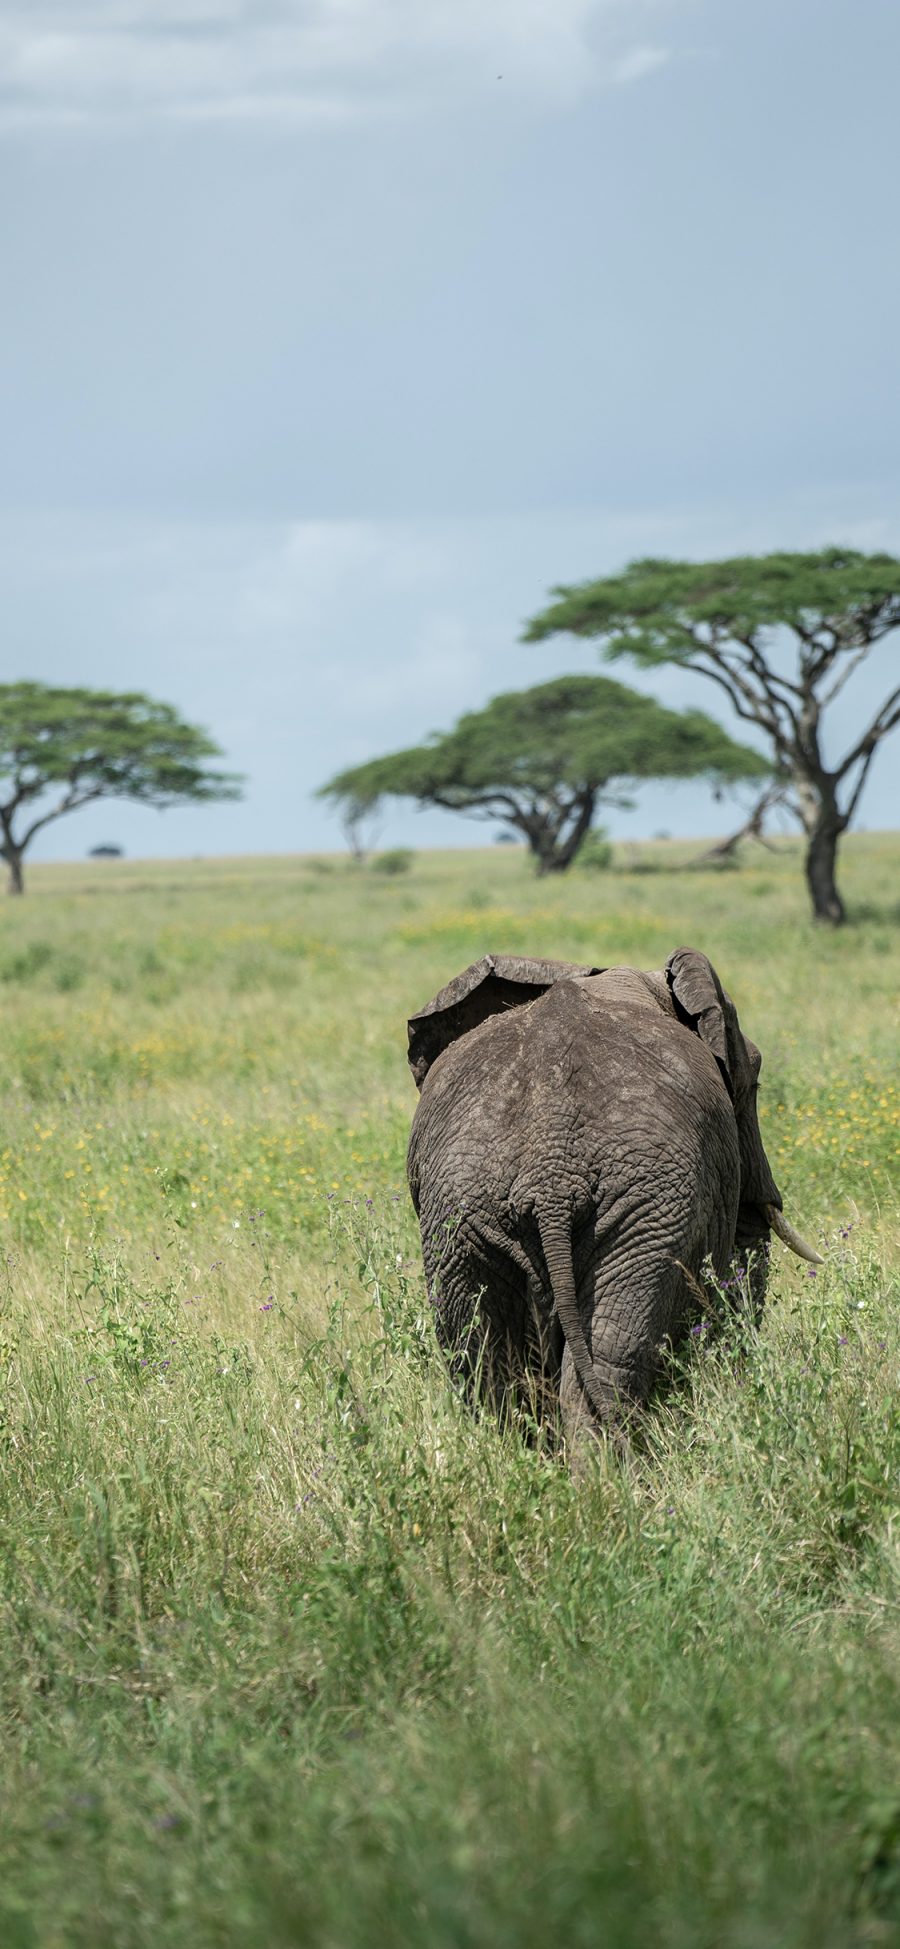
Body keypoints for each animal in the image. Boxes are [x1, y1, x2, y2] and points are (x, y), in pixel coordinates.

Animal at [407, 943, 822, 1450]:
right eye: (756, 1077)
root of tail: (550, 1175)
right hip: (647, 1210)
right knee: (609, 1360)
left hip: (463, 1218)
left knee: (484, 1365)